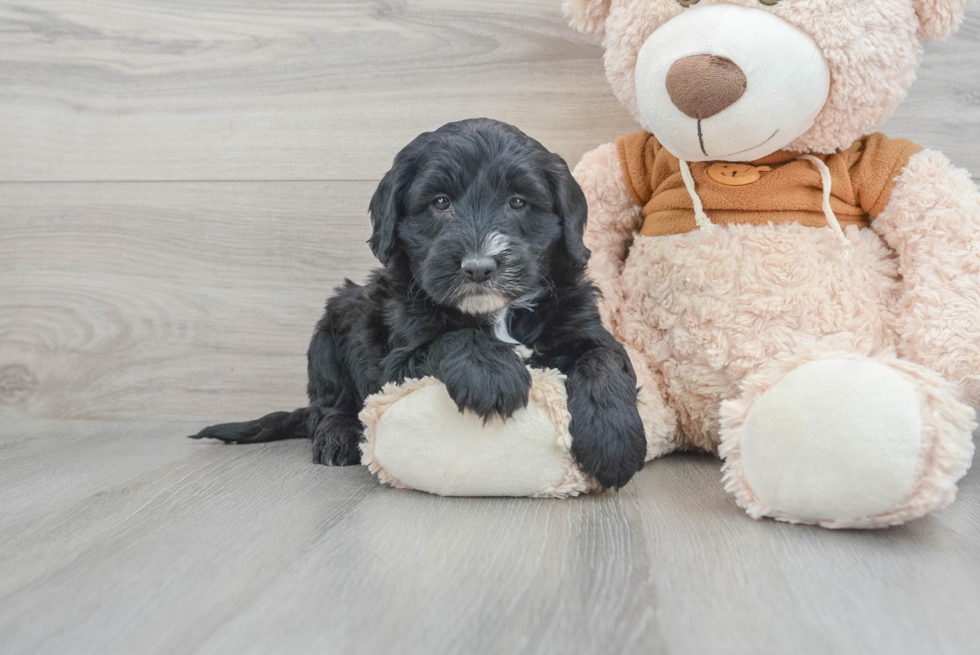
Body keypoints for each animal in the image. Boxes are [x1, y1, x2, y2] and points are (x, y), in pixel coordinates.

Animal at [194, 118, 648, 490]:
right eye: (441, 202)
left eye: (518, 202)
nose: (479, 267)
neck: (496, 311)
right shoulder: (397, 361)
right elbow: (451, 338)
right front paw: (492, 373)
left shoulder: (582, 323)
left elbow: (604, 358)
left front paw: (614, 440)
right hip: (337, 319)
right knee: (329, 403)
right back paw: (338, 436)